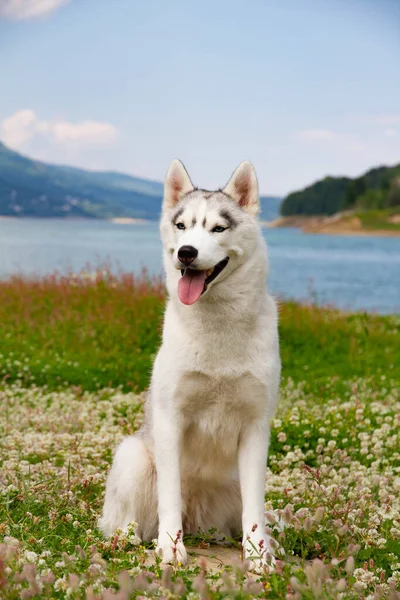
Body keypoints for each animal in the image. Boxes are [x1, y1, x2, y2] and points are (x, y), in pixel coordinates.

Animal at [99, 158, 282, 568]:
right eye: (182, 226)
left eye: (218, 228)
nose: (186, 252)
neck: (219, 328)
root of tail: (199, 522)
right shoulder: (171, 419)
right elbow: (169, 497)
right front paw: (170, 546)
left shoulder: (255, 428)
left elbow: (254, 511)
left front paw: (258, 556)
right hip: (133, 456)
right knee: (126, 523)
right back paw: (127, 539)